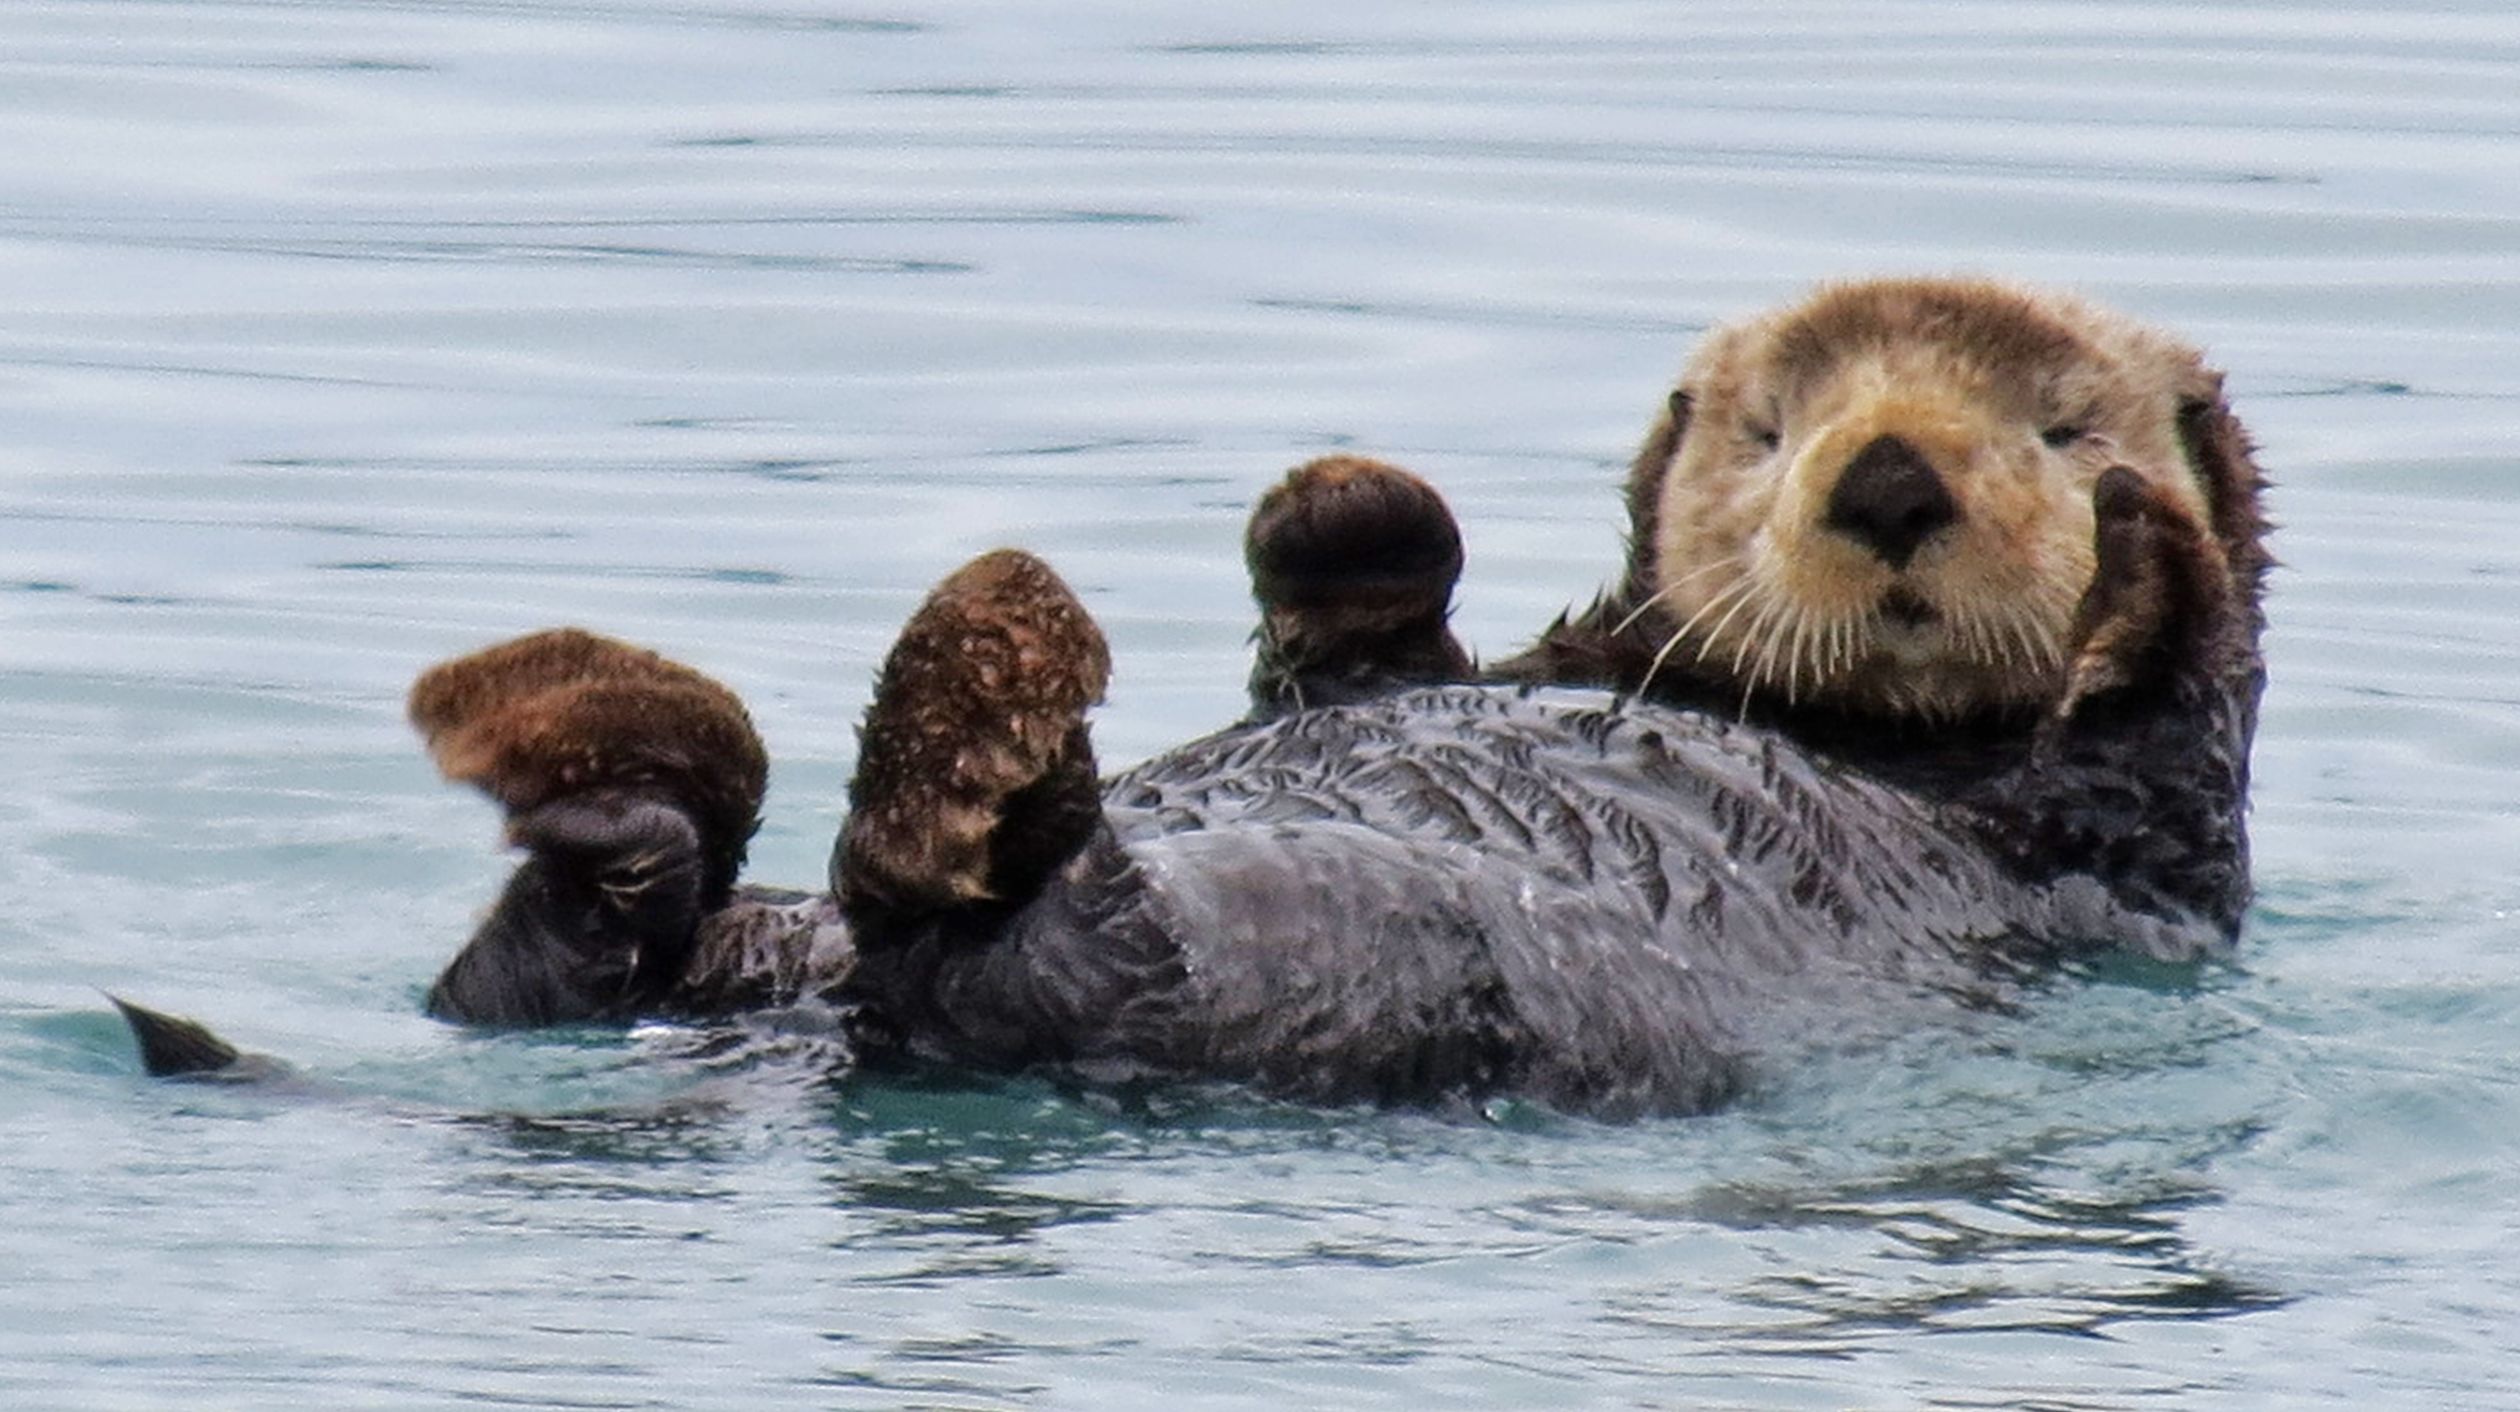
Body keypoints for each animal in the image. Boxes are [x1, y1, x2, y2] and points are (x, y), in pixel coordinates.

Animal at [122, 273, 2268, 1114]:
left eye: (2062, 424)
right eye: (1768, 424)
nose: (1885, 477)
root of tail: (816, 1032)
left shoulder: (2129, 840)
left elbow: (2161, 716)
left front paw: (2149, 554)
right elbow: (1362, 637)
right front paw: (1350, 503)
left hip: (1314, 961)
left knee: (1013, 923)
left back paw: (967, 707)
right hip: (749, 946)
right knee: (583, 945)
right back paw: (598, 747)